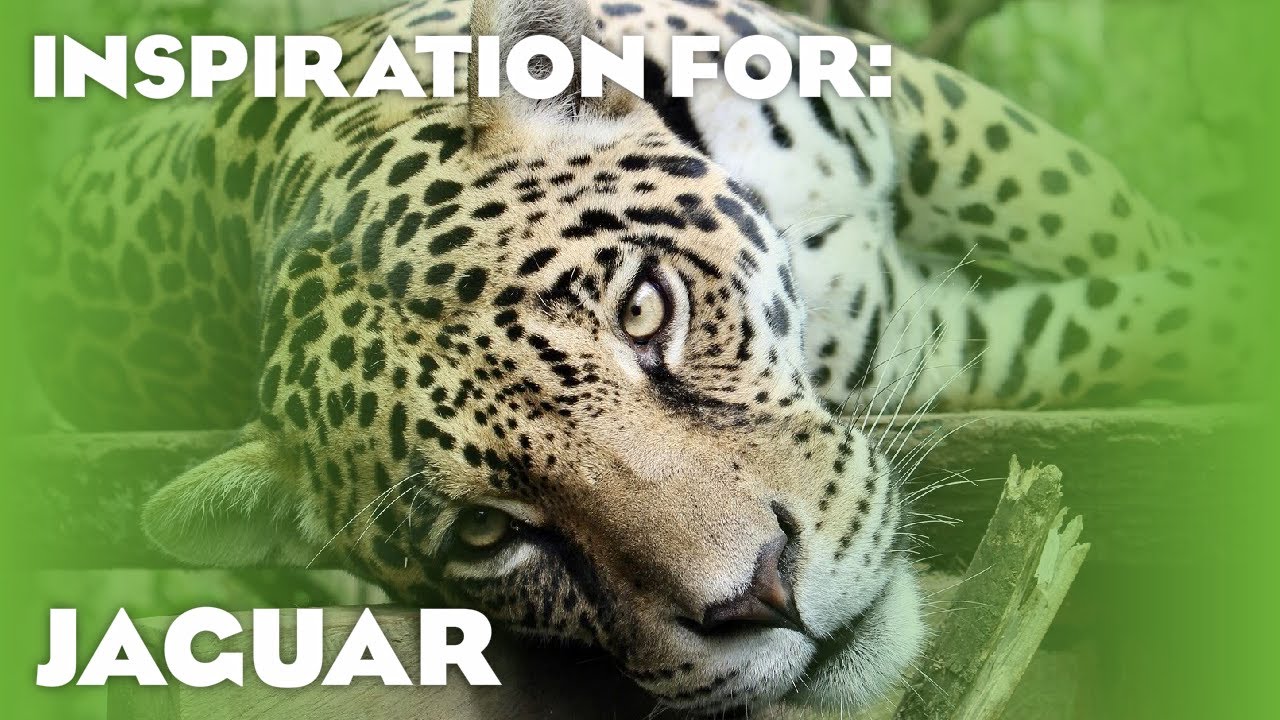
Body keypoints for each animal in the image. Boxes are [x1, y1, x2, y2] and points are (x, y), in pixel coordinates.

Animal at [20, 0, 1248, 713]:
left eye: (646, 309)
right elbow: (1114, 318)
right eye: (484, 535)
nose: (764, 598)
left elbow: (1100, 218)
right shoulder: (932, 337)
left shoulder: (907, 96)